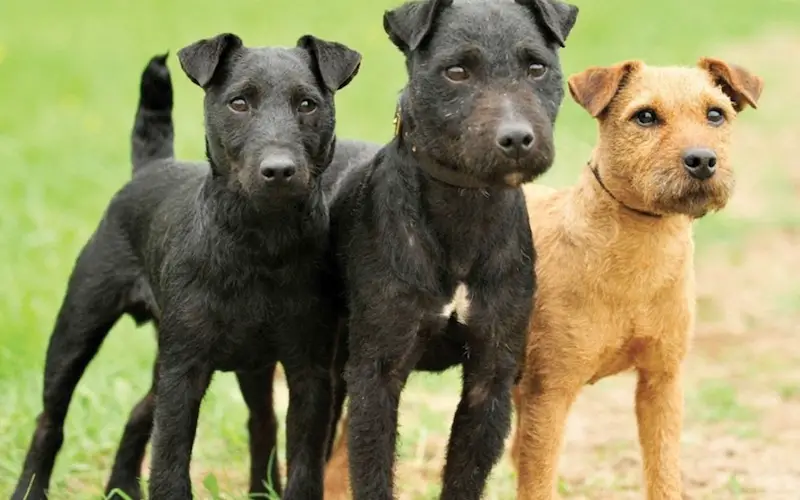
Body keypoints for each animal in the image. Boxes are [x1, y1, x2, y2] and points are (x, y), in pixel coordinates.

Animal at [10, 32, 360, 500]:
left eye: (307, 104)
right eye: (238, 103)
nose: (279, 170)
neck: (260, 245)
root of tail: (152, 166)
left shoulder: (310, 372)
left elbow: (304, 465)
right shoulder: (185, 373)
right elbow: (170, 464)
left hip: (223, 363)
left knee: (183, 417)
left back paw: (123, 486)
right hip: (78, 328)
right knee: (51, 419)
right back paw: (30, 488)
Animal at [320, 58, 764, 500]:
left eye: (715, 114)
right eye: (645, 116)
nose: (702, 160)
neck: (633, 254)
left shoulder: (661, 382)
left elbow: (664, 476)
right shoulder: (549, 393)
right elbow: (537, 481)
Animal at [322, 0, 580, 498]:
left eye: (537, 67)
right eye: (456, 71)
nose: (517, 138)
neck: (464, 210)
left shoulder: (491, 376)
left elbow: (464, 476)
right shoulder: (376, 375)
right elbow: (372, 474)